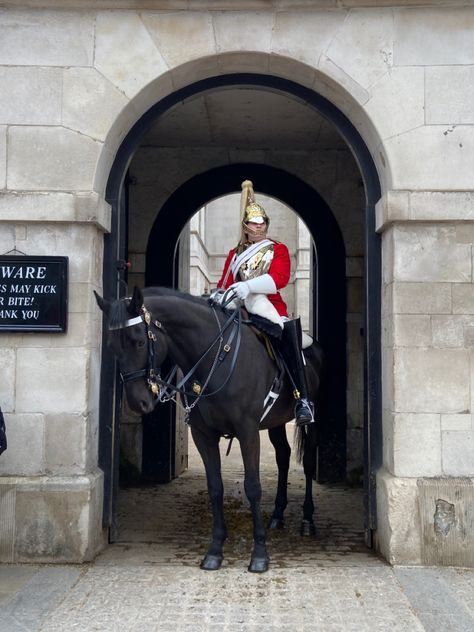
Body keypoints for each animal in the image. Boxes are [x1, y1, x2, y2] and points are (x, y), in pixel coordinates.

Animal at [94, 286, 324, 572]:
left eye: (138, 341)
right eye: (111, 346)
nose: (139, 403)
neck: (214, 359)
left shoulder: (248, 432)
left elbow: (253, 487)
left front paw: (259, 554)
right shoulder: (202, 434)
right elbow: (215, 487)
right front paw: (215, 550)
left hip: (312, 419)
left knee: (308, 462)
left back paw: (307, 520)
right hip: (276, 421)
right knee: (283, 456)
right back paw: (278, 515)